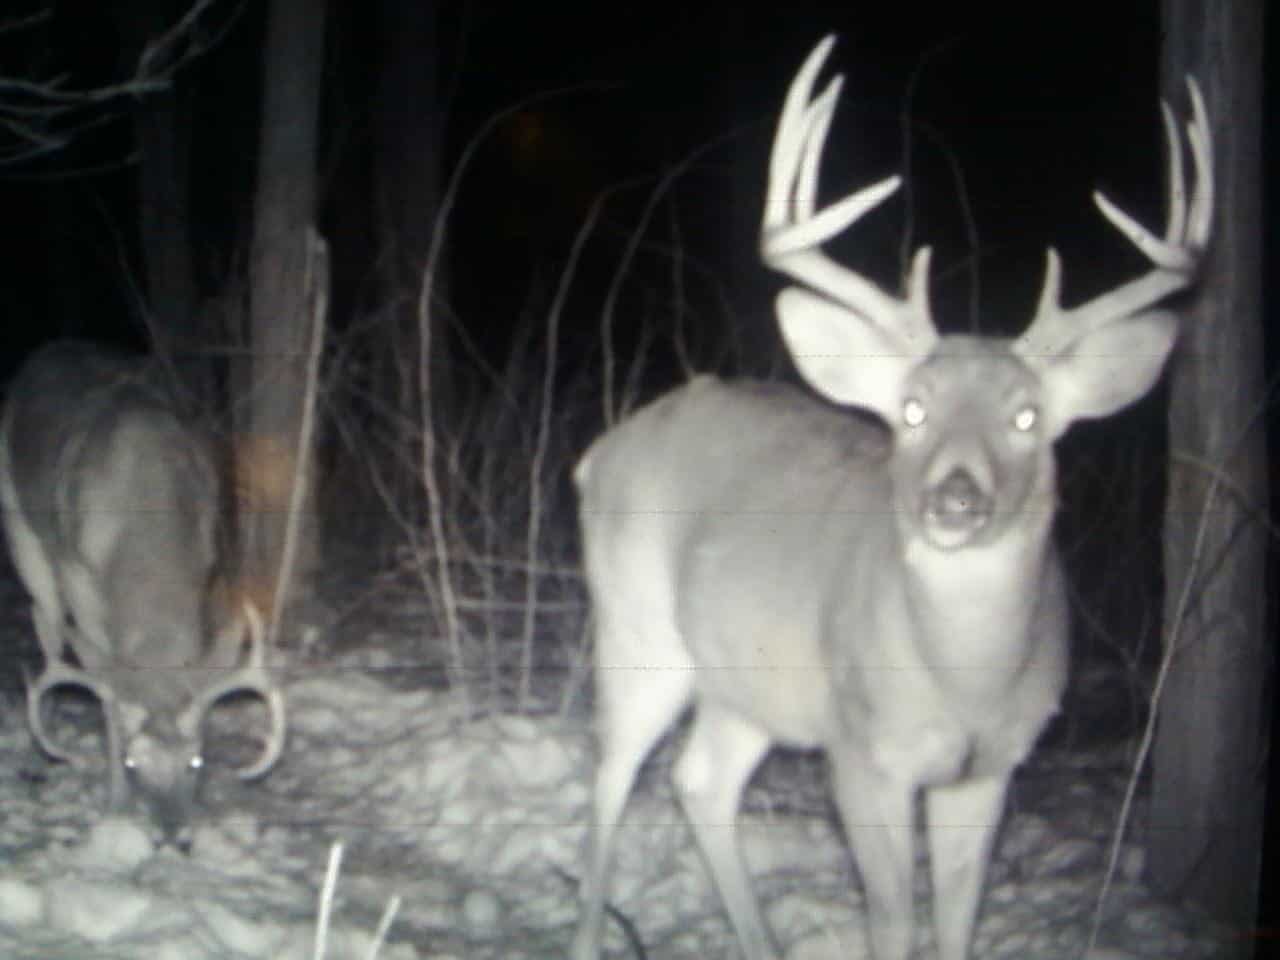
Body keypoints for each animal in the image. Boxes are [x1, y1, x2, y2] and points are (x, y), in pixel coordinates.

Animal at [0, 340, 287, 851]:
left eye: (197, 761)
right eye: (134, 764)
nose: (174, 837)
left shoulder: (210, 562)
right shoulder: (81, 581)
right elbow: (109, 695)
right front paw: (115, 803)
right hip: (20, 524)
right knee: (45, 623)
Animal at [571, 35, 1211, 960]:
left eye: (1027, 417)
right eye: (911, 410)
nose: (956, 498)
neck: (964, 679)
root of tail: (601, 452)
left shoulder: (990, 768)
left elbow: (956, 925)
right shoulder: (862, 749)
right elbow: (892, 923)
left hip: (748, 680)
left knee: (701, 781)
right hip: (638, 631)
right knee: (611, 776)